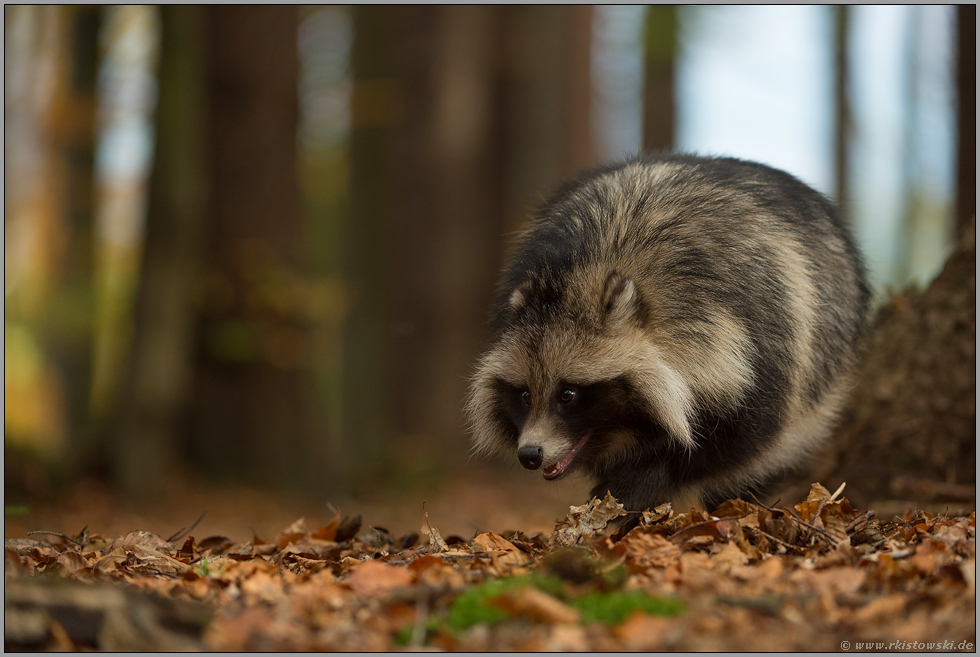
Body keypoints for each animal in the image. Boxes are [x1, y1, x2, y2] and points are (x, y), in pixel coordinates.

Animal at [468, 155, 872, 512]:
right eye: (524, 395)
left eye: (568, 394)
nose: (529, 454)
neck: (583, 266)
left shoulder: (764, 335)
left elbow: (741, 442)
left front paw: (642, 481)